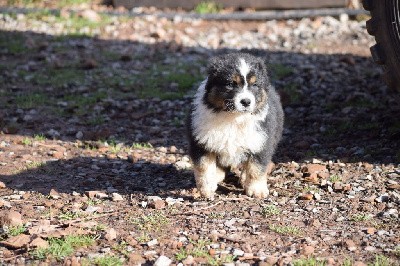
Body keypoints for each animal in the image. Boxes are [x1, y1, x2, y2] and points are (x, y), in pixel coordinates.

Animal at [188, 53, 284, 200]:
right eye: (230, 84)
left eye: (254, 84)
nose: (246, 101)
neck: (234, 118)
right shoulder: (201, 142)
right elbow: (204, 167)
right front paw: (206, 189)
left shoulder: (261, 141)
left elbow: (256, 168)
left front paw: (257, 190)